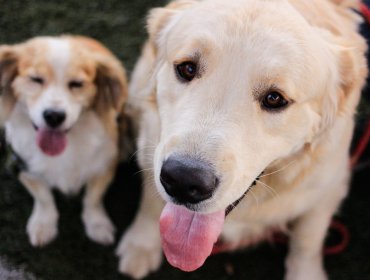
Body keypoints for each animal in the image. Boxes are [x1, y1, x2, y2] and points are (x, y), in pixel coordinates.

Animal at [0, 35, 127, 247]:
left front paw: (97, 224)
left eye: (77, 83)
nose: (54, 116)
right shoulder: (23, 165)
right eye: (36, 79)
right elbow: (43, 197)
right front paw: (43, 224)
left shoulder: (105, 165)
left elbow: (93, 199)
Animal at [117, 1, 368, 278]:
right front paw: (141, 244)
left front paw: (305, 273)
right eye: (187, 68)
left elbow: (307, 240)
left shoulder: (329, 189)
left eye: (275, 98)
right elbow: (151, 203)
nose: (183, 180)